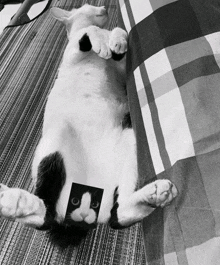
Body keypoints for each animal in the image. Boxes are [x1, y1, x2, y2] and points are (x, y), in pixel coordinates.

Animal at [0, 4, 177, 246]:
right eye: (86, 6)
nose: (102, 6)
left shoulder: (121, 69)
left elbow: (118, 31)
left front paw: (116, 40)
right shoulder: (74, 52)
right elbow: (89, 32)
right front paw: (103, 40)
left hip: (129, 134)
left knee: (117, 215)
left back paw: (153, 195)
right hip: (55, 135)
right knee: (46, 215)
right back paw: (12, 201)